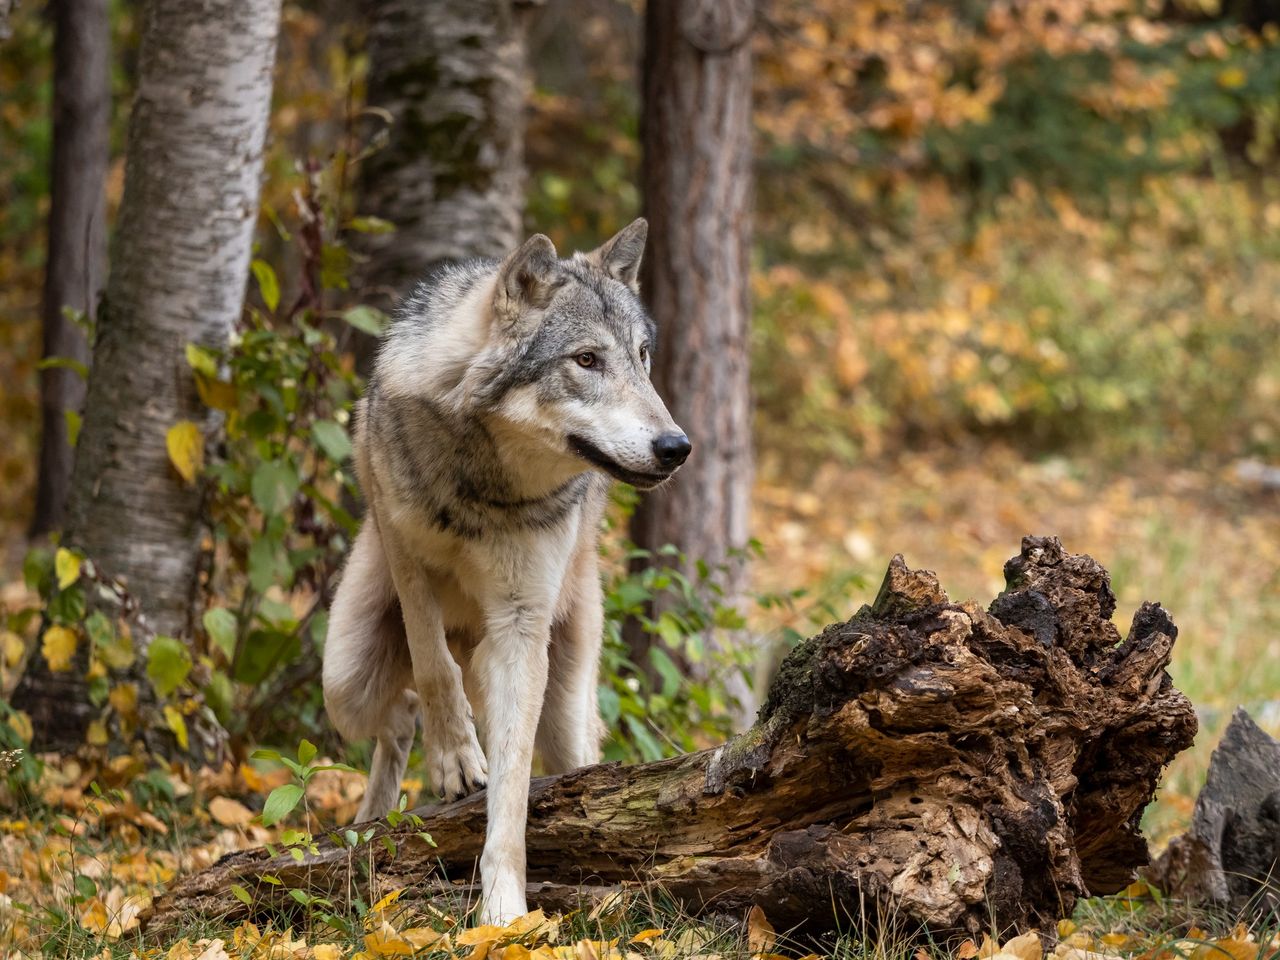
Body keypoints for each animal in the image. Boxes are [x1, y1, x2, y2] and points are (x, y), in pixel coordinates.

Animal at [322, 219, 690, 924]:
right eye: (586, 360)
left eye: (642, 356)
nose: (676, 447)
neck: (482, 483)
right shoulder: (405, 557)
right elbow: (432, 665)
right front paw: (456, 760)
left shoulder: (520, 626)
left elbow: (514, 792)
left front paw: (503, 912)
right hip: (344, 676)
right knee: (400, 712)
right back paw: (370, 824)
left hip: (564, 705)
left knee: (568, 757)